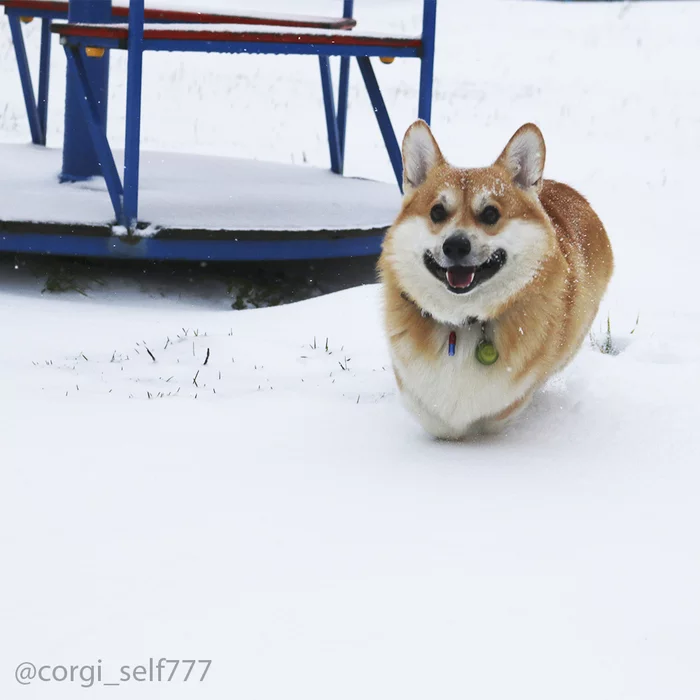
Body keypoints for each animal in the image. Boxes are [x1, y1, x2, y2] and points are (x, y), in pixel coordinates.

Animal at [378, 120, 612, 438]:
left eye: (490, 214)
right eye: (437, 212)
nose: (456, 246)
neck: (461, 323)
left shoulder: (515, 392)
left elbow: (499, 409)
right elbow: (427, 410)